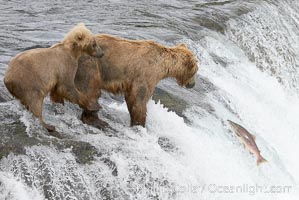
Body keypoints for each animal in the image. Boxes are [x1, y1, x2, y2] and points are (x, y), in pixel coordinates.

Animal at [51, 34, 199, 128]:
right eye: (196, 71)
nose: (193, 85)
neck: (162, 66)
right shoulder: (146, 74)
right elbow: (138, 99)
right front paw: (139, 124)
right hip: (91, 66)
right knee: (91, 91)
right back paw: (97, 121)